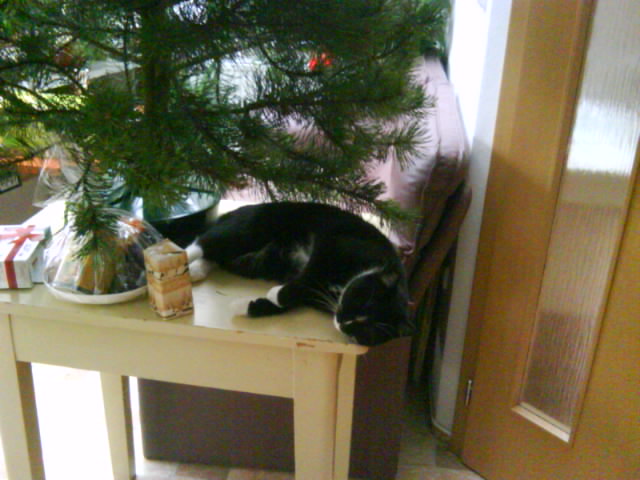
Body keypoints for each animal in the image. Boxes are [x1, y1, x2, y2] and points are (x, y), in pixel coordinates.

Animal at [186, 202, 412, 346]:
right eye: (361, 301)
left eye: (366, 331)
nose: (343, 323)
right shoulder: (332, 245)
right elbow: (306, 277)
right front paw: (276, 293)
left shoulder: (315, 297)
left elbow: (284, 303)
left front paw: (244, 306)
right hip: (245, 230)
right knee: (201, 244)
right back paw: (182, 263)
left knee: (217, 256)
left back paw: (196, 271)